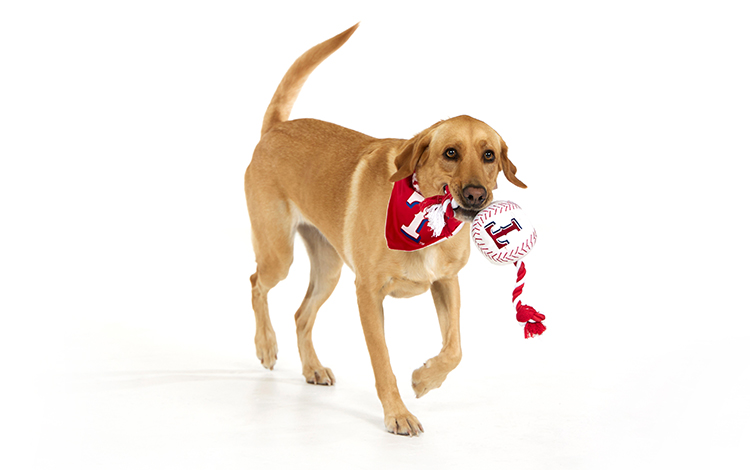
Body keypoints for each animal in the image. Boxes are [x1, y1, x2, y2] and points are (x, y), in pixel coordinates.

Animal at [244, 23, 524, 436]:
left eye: (489, 155)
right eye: (451, 153)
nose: (476, 194)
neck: (428, 217)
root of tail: (277, 129)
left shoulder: (446, 283)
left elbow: (455, 349)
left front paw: (424, 379)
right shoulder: (368, 294)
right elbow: (383, 362)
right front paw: (398, 413)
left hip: (328, 270)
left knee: (301, 315)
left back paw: (311, 367)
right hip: (279, 254)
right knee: (256, 284)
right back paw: (265, 345)